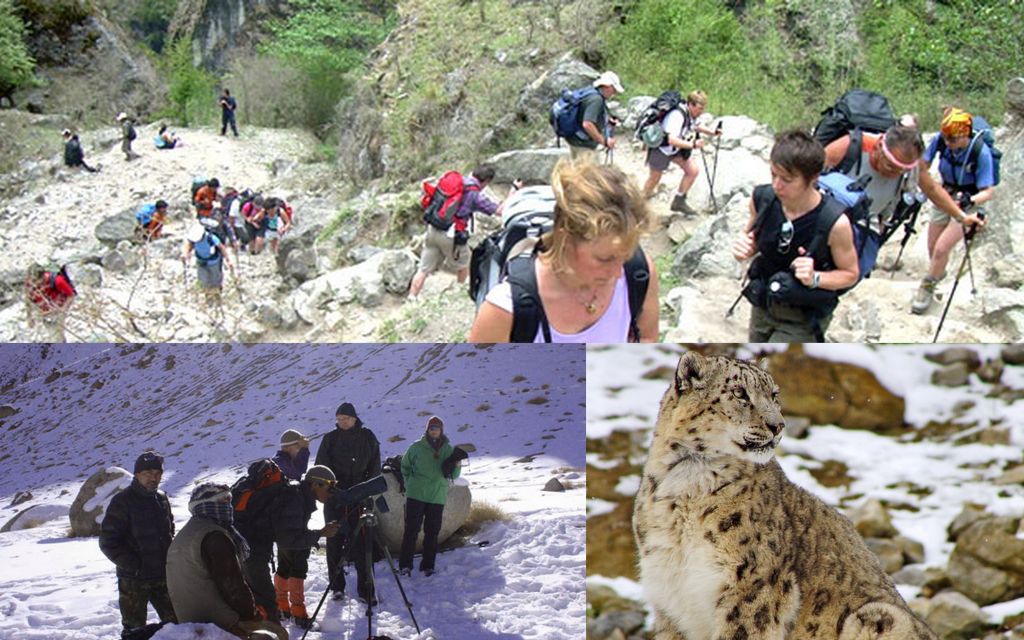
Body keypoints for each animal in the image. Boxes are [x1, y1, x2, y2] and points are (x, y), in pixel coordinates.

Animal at [630, 352, 937, 634]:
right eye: (739, 392)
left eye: (774, 394)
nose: (777, 425)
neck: (685, 483)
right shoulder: (668, 597)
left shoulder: (753, 584)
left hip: (880, 614)